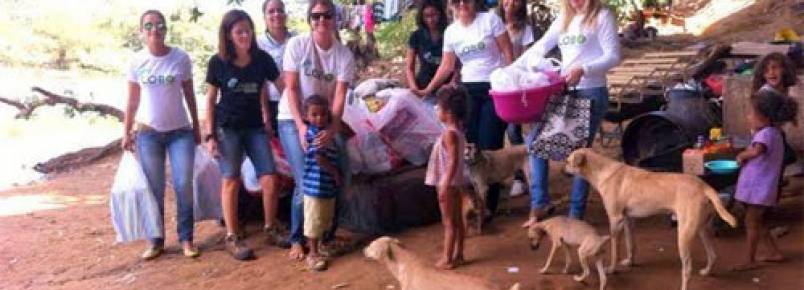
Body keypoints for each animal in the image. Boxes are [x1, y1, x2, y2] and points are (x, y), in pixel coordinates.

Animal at [564, 148, 740, 290]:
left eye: (567, 161)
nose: (561, 169)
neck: (603, 171)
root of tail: (704, 186)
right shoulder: (628, 220)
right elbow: (631, 245)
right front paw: (630, 262)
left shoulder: (615, 220)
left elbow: (615, 251)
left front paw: (612, 269)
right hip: (702, 229)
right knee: (713, 255)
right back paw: (706, 271)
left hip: (684, 235)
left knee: (687, 269)